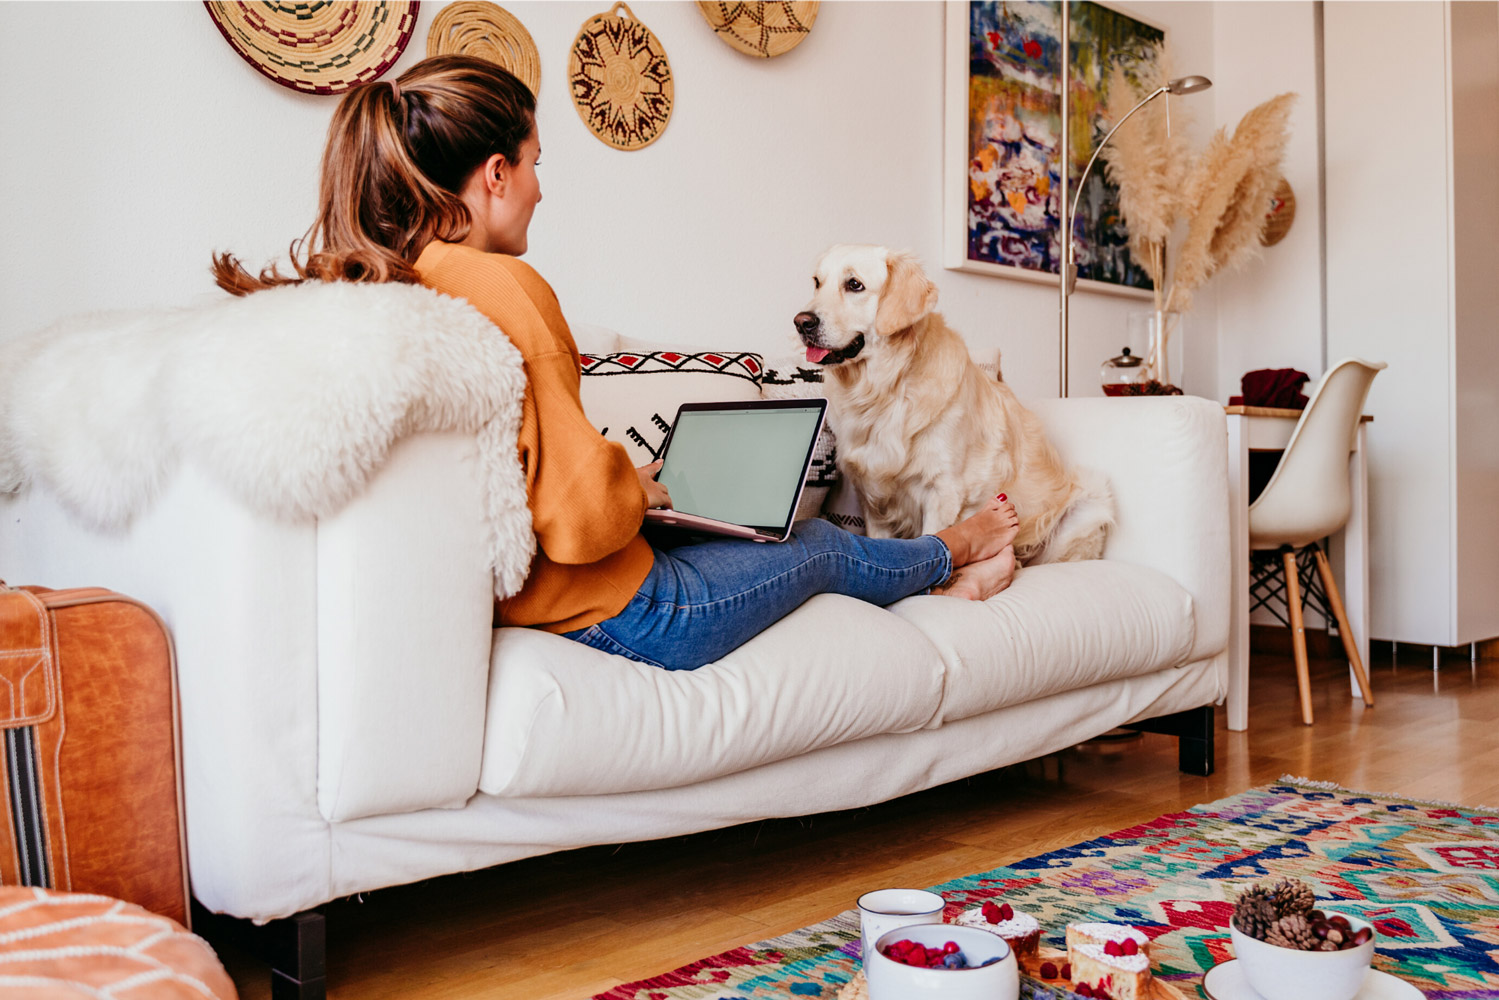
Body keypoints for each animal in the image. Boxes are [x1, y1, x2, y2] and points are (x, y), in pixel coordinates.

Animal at [797, 242, 1115, 563]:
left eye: (854, 285)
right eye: (817, 282)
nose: (802, 322)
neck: (885, 391)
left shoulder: (943, 491)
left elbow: (937, 542)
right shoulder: (874, 500)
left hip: (1089, 503)